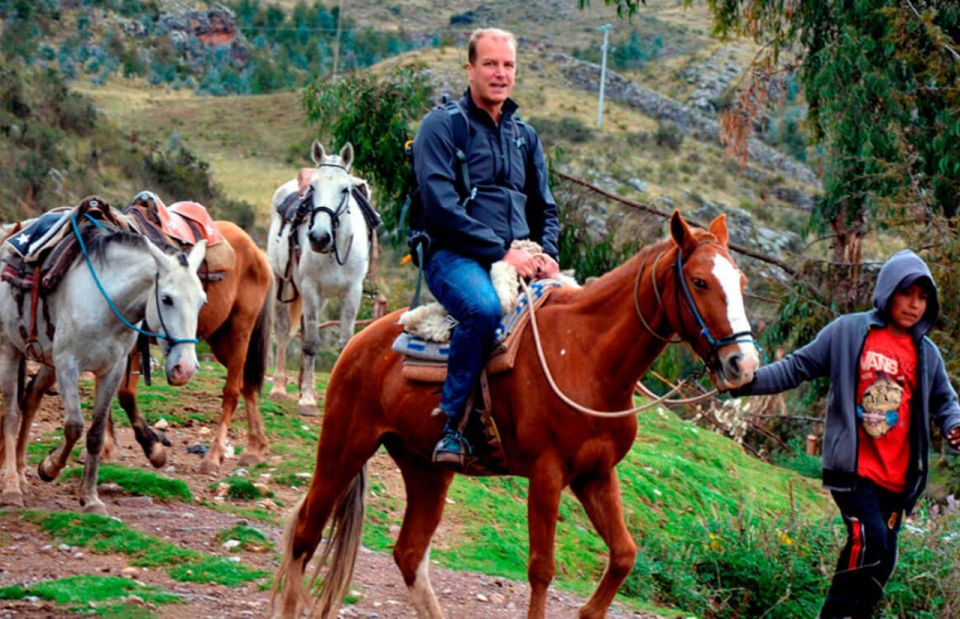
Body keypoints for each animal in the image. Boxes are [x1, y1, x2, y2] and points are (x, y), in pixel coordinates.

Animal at [0, 206, 208, 516]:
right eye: (167, 298)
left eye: (202, 301)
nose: (185, 369)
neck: (104, 299)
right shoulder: (69, 365)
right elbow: (74, 426)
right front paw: (50, 467)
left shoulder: (112, 369)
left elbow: (96, 433)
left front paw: (90, 498)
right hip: (10, 347)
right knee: (11, 413)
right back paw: (12, 486)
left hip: (45, 359)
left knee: (32, 397)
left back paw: (22, 474)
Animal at [105, 206, 274, 478]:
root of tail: (258, 254)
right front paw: (106, 448)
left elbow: (125, 394)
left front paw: (153, 451)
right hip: (220, 341)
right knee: (247, 384)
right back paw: (255, 448)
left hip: (239, 332)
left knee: (232, 391)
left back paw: (214, 456)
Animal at [266, 142, 372, 416]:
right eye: (313, 188)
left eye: (345, 189)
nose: (319, 238)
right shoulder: (310, 288)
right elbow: (312, 342)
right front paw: (307, 401)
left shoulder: (352, 292)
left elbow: (344, 344)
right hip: (283, 282)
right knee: (283, 331)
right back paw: (280, 388)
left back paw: (304, 383)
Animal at [270, 211, 756, 616]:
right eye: (699, 282)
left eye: (742, 281)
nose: (743, 364)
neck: (587, 356)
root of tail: (360, 341)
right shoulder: (547, 473)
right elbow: (541, 569)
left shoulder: (596, 474)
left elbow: (623, 555)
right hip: (344, 446)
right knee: (305, 535)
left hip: (426, 469)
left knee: (408, 553)